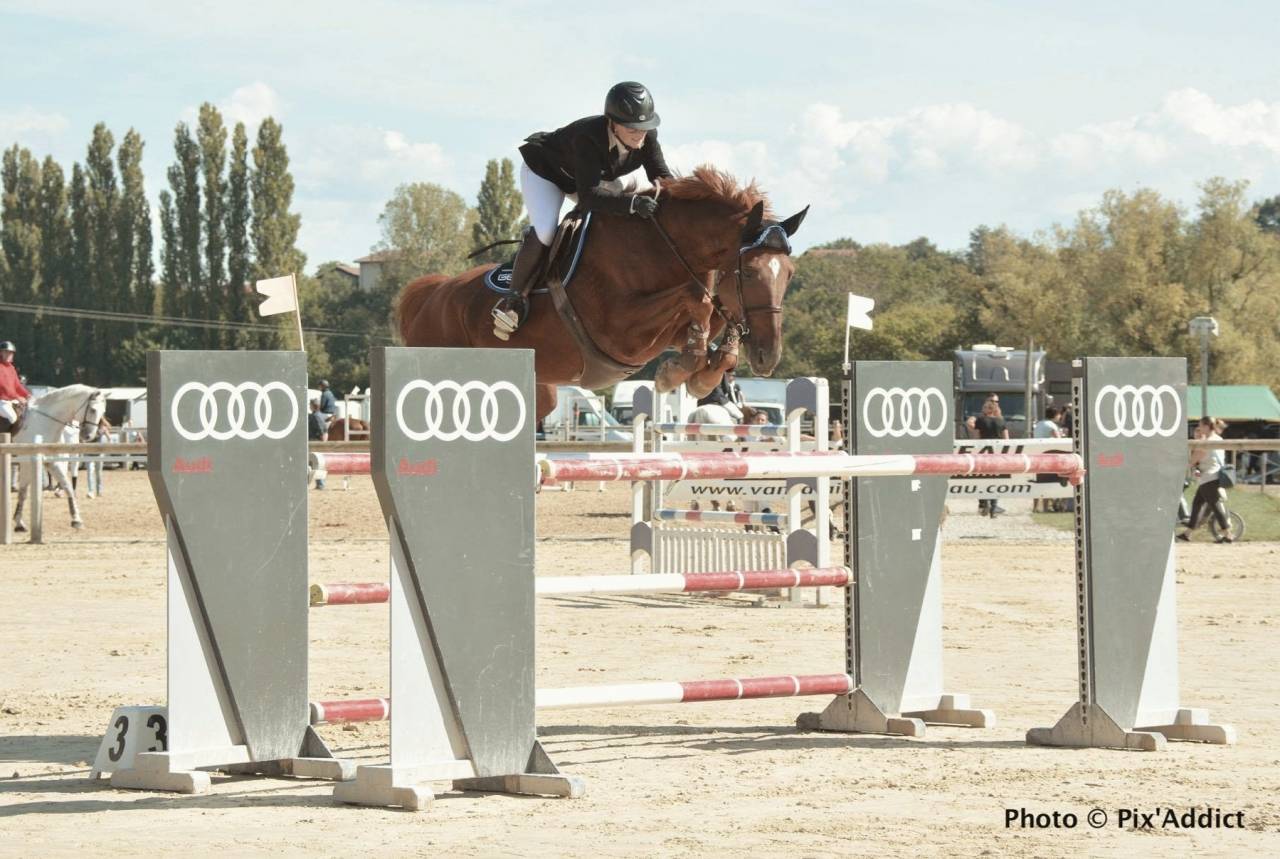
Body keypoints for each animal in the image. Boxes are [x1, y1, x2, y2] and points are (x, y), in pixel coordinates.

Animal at [12, 384, 106, 532]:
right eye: (92, 410)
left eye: (103, 412)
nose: (89, 436)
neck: (44, 420)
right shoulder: (26, 461)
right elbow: (23, 492)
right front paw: (19, 522)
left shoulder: (52, 461)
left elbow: (67, 486)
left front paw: (76, 519)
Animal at [396, 166, 808, 420]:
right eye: (750, 273)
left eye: (788, 274)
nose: (768, 357)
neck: (660, 246)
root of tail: (431, 295)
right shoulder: (619, 332)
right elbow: (695, 297)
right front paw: (677, 373)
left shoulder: (667, 332)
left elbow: (708, 316)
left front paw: (702, 371)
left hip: (539, 388)